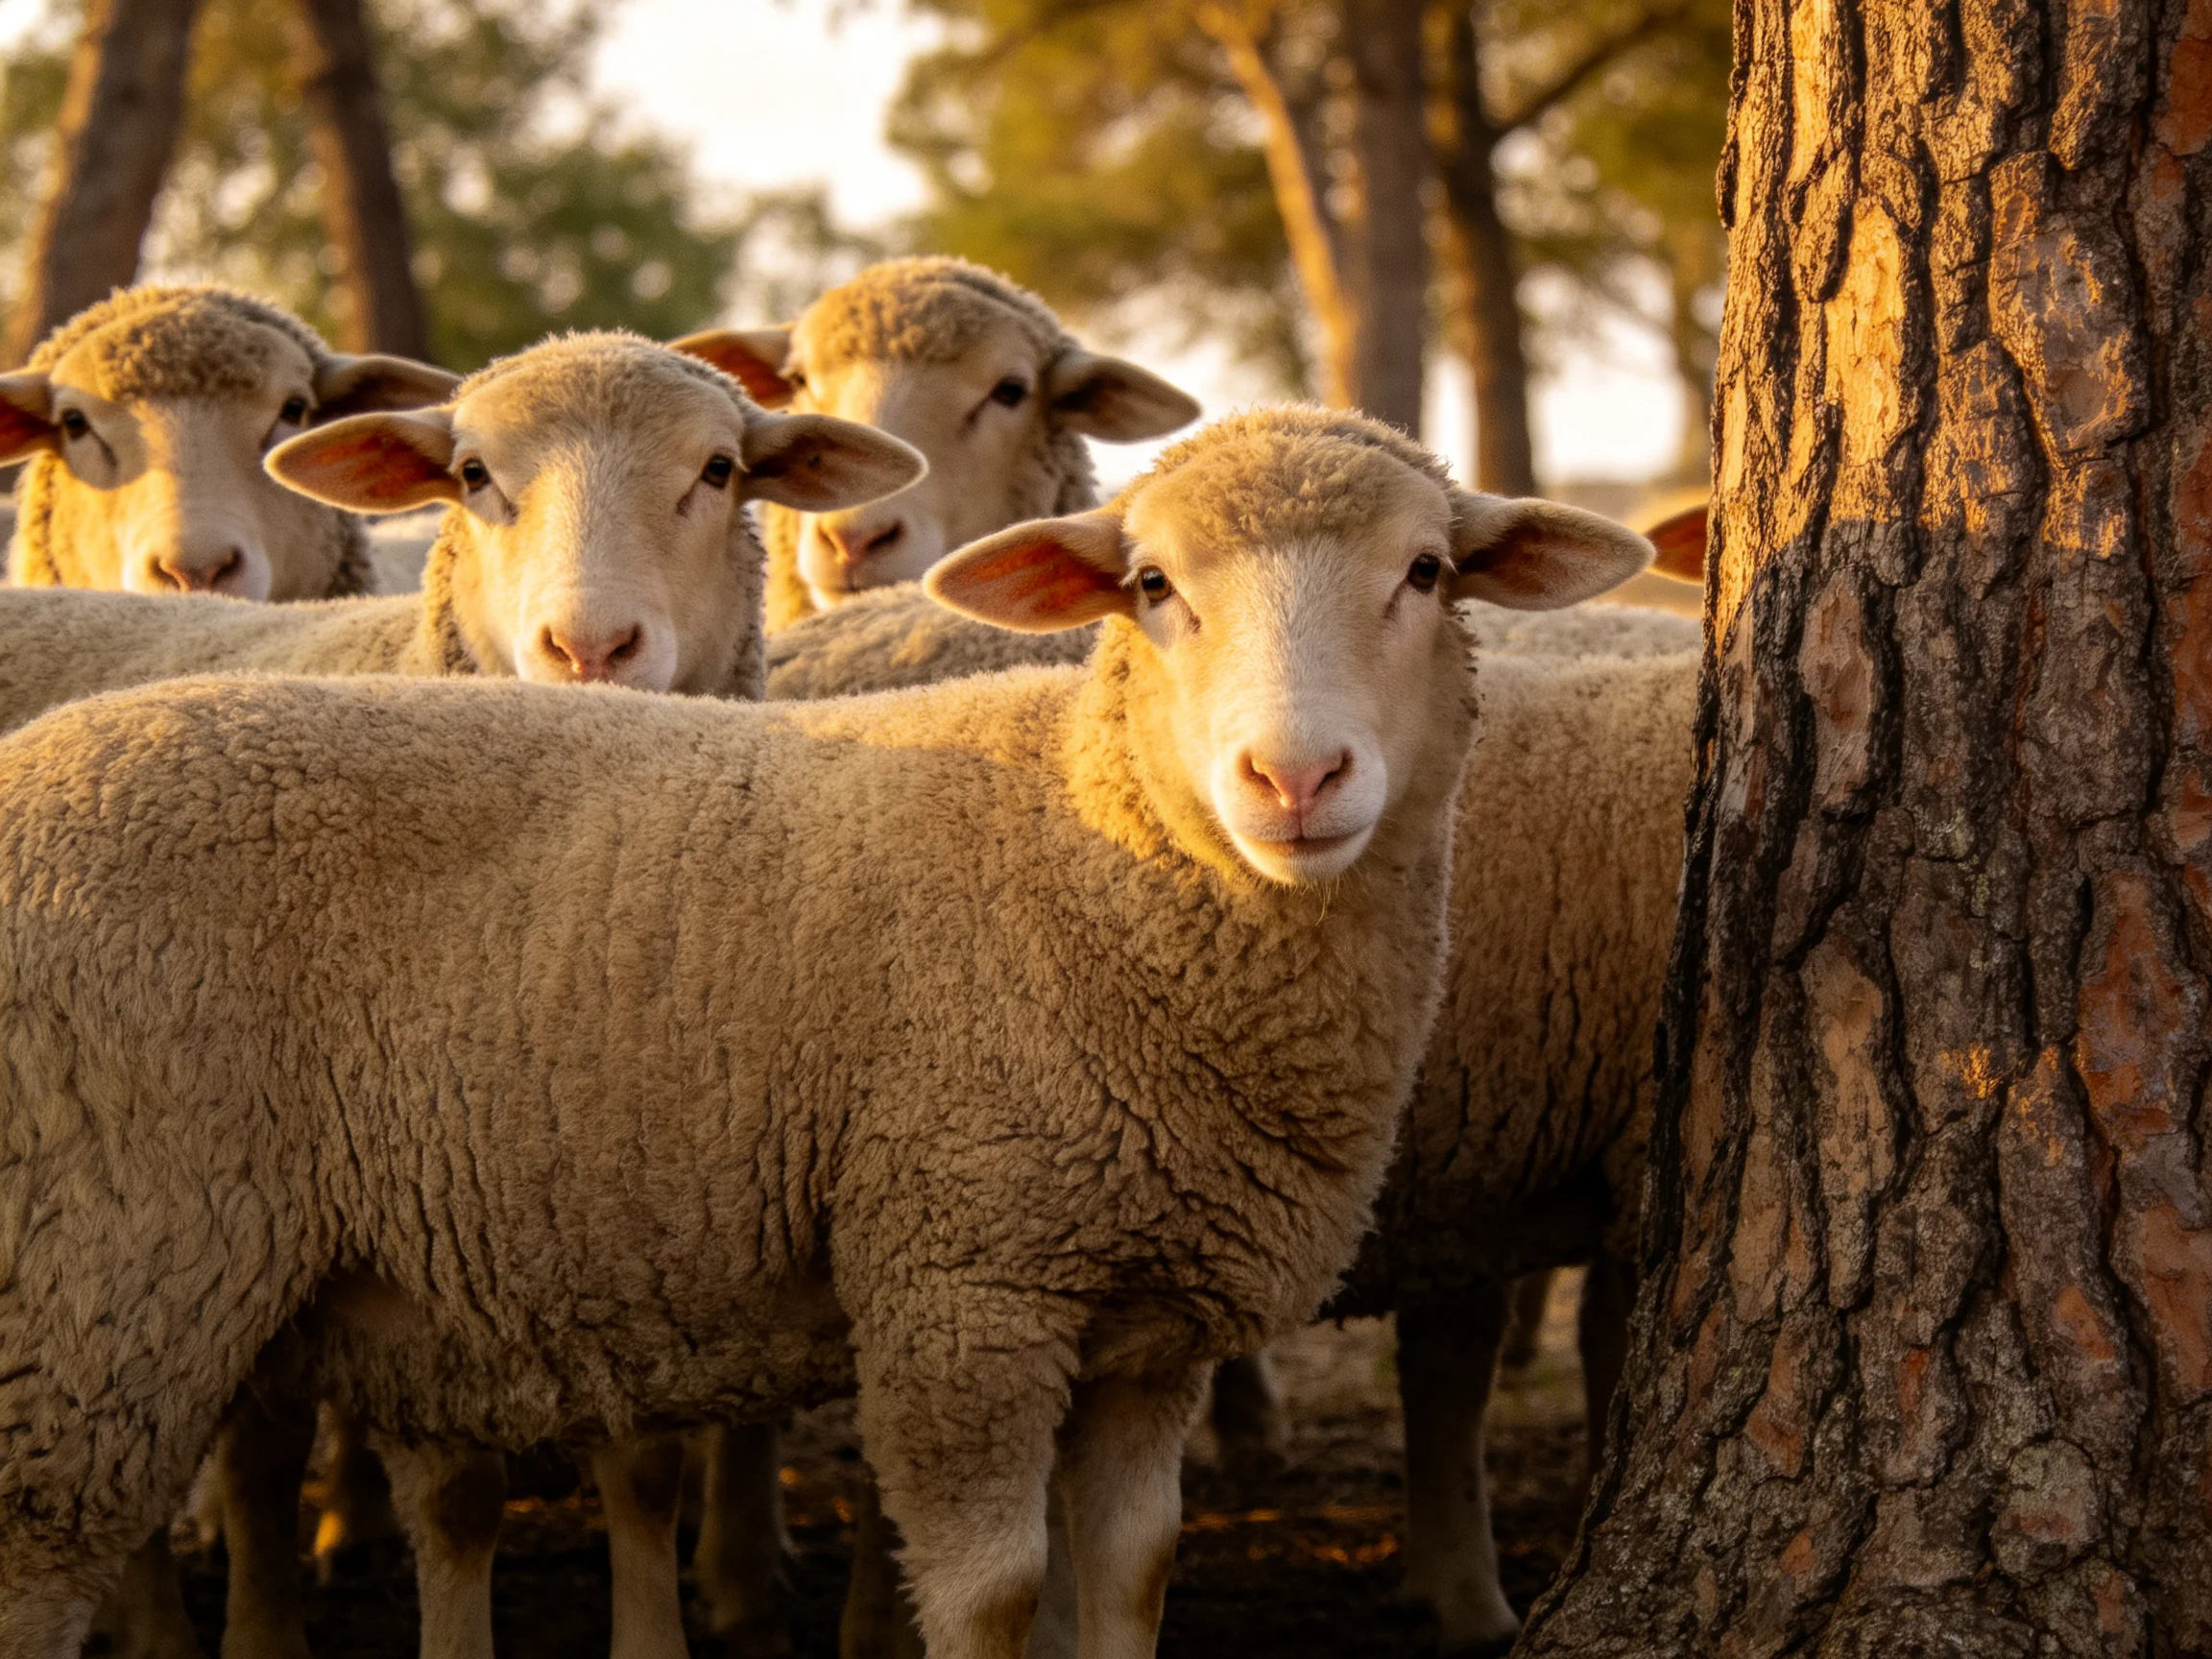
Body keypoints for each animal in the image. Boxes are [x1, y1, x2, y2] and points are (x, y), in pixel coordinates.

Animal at [0, 406, 1651, 1659]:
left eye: (1428, 570)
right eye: (1151, 584)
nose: (1295, 780)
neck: (1090, 857)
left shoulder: (1149, 1314)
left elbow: (1131, 1581)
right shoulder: (960, 1281)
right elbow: (993, 1600)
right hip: (104, 1274)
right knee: (44, 1551)